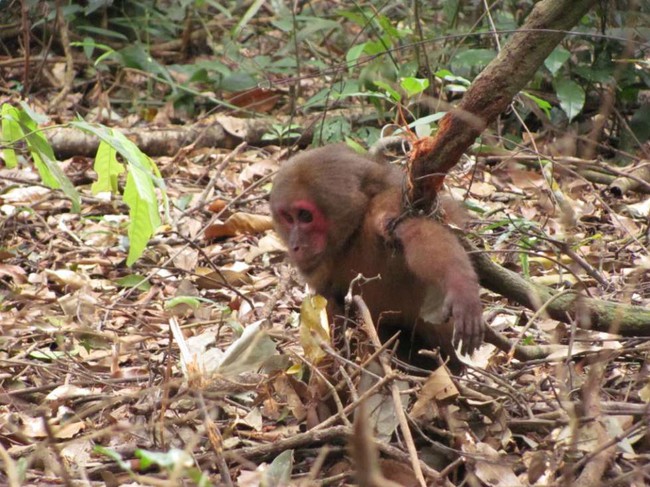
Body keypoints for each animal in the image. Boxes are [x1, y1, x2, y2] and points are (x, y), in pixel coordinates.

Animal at [266, 143, 484, 364]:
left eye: (305, 216)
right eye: (288, 218)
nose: (294, 245)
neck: (351, 237)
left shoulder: (385, 207)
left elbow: (419, 234)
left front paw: (460, 284)